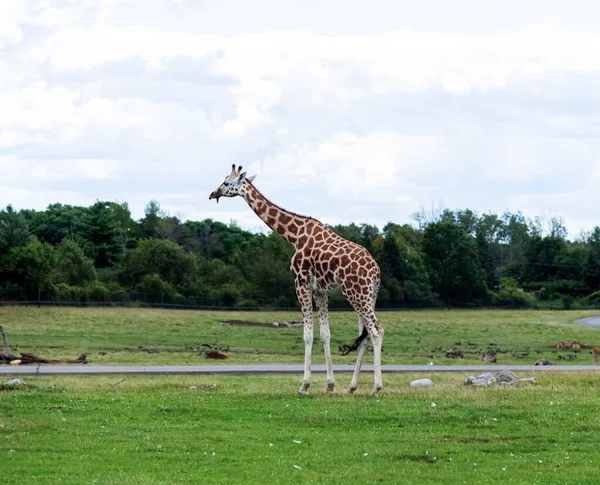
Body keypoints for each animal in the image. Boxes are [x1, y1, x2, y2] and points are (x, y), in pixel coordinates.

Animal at [211, 164, 384, 394]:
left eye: (226, 182)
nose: (213, 193)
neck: (294, 236)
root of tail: (375, 270)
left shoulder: (300, 283)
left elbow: (307, 334)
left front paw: (304, 385)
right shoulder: (320, 291)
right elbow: (325, 334)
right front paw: (330, 385)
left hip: (357, 294)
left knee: (376, 331)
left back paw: (376, 387)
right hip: (368, 296)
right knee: (365, 337)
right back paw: (351, 387)